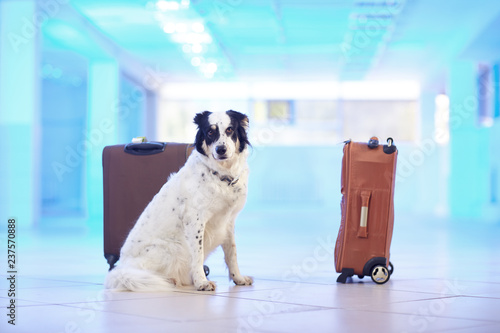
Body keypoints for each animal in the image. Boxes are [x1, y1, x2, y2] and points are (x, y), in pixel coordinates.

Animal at [105, 109, 254, 290]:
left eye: (230, 130)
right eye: (210, 132)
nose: (221, 149)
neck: (221, 176)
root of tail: (121, 270)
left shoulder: (228, 222)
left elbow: (232, 253)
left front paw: (238, 278)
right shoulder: (195, 221)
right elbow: (198, 255)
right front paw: (201, 282)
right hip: (170, 248)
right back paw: (170, 280)